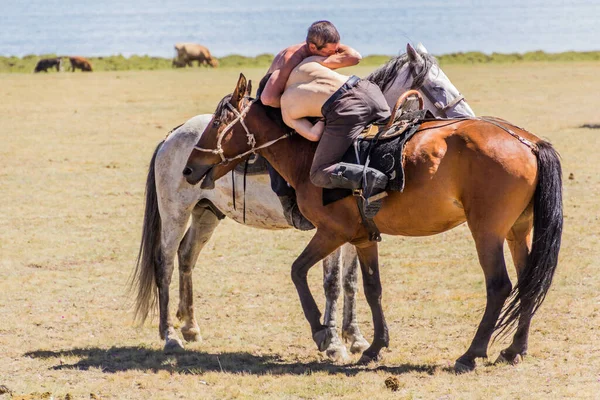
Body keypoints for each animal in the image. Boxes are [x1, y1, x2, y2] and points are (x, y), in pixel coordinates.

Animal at [134, 42, 476, 360]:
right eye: (437, 87)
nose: (469, 120)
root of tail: (173, 135)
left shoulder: (354, 232)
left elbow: (351, 282)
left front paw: (356, 338)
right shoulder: (332, 231)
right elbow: (333, 283)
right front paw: (334, 342)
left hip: (206, 213)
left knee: (187, 257)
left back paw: (190, 327)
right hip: (175, 213)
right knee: (165, 262)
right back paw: (169, 335)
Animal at [182, 74, 564, 372]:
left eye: (216, 124)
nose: (188, 168)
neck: (309, 155)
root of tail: (528, 142)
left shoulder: (332, 232)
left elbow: (298, 271)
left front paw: (322, 333)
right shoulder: (363, 238)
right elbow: (371, 288)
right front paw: (375, 346)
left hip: (486, 232)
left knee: (499, 286)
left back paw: (471, 354)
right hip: (516, 232)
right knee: (528, 282)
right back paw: (514, 350)